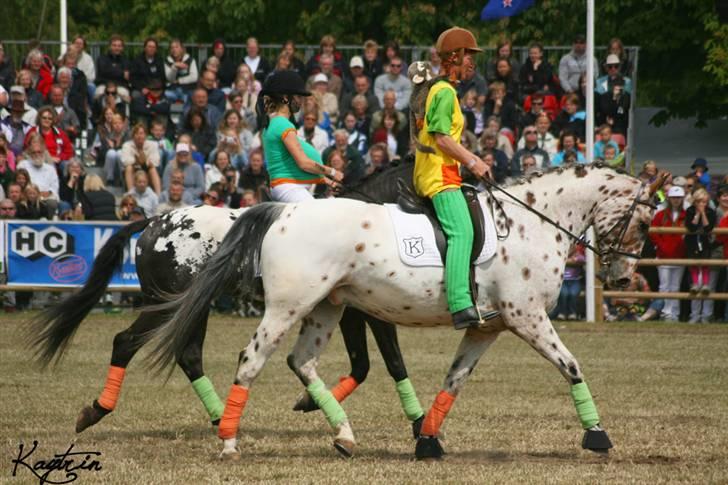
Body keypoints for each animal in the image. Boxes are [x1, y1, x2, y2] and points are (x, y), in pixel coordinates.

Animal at [28, 159, 426, 434]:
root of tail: (155, 222)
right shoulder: (371, 312)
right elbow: (390, 363)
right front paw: (420, 422)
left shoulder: (351, 312)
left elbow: (363, 365)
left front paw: (309, 402)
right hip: (167, 306)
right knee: (129, 343)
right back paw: (99, 410)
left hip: (188, 309)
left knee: (186, 356)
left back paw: (222, 417)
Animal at [142, 162, 660, 458]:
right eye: (643, 222)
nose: (621, 279)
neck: (530, 221)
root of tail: (282, 212)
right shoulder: (526, 317)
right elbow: (571, 366)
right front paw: (597, 436)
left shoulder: (487, 328)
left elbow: (453, 381)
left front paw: (427, 440)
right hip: (288, 306)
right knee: (250, 360)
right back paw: (228, 440)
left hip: (327, 309)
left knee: (301, 361)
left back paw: (344, 435)